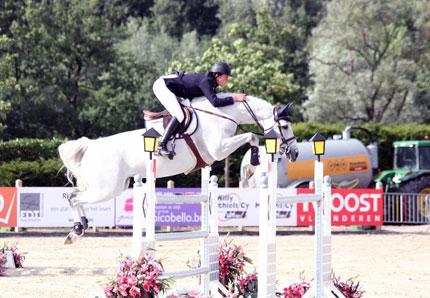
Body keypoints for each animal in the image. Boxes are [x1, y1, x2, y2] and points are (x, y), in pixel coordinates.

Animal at [58, 93, 298, 244]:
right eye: (285, 126)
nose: (294, 153)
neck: (222, 114)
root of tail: (91, 146)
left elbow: (251, 137)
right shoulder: (218, 149)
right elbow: (251, 136)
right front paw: (256, 158)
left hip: (110, 186)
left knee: (73, 195)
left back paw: (79, 228)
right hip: (106, 188)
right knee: (73, 197)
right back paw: (77, 230)